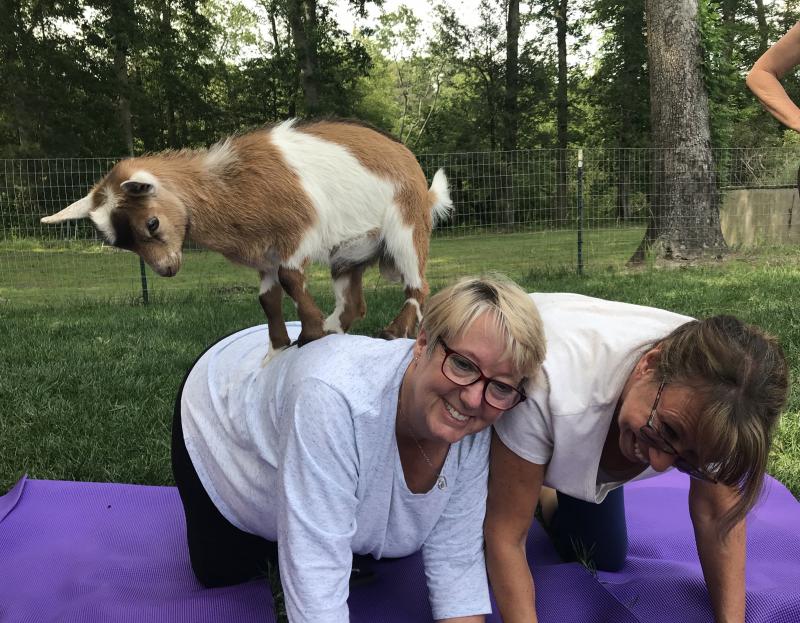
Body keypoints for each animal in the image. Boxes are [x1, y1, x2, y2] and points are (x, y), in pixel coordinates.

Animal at [43, 117, 454, 352]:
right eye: (118, 242)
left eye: (152, 223)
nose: (167, 270)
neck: (230, 185)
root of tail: (415, 170)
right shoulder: (264, 257)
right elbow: (268, 297)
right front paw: (282, 343)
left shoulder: (298, 232)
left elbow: (291, 278)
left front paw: (310, 332)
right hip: (347, 255)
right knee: (354, 302)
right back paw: (336, 328)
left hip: (405, 229)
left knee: (419, 285)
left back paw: (391, 332)